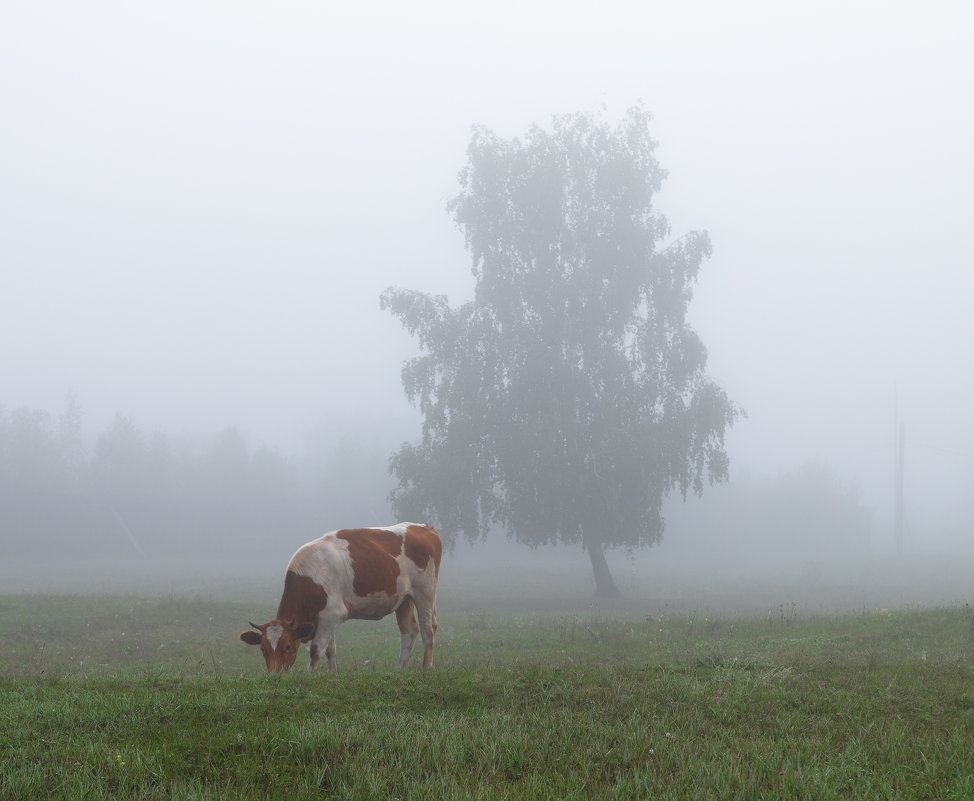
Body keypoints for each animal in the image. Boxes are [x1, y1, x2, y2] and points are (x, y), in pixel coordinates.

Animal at [240, 520, 442, 672]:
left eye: (288, 646)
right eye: (262, 648)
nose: (275, 674)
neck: (310, 577)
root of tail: (424, 527)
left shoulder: (331, 614)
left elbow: (317, 649)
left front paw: (309, 674)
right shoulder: (325, 618)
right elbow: (330, 649)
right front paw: (332, 672)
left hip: (425, 593)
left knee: (427, 630)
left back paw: (426, 667)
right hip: (404, 599)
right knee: (409, 631)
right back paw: (400, 669)